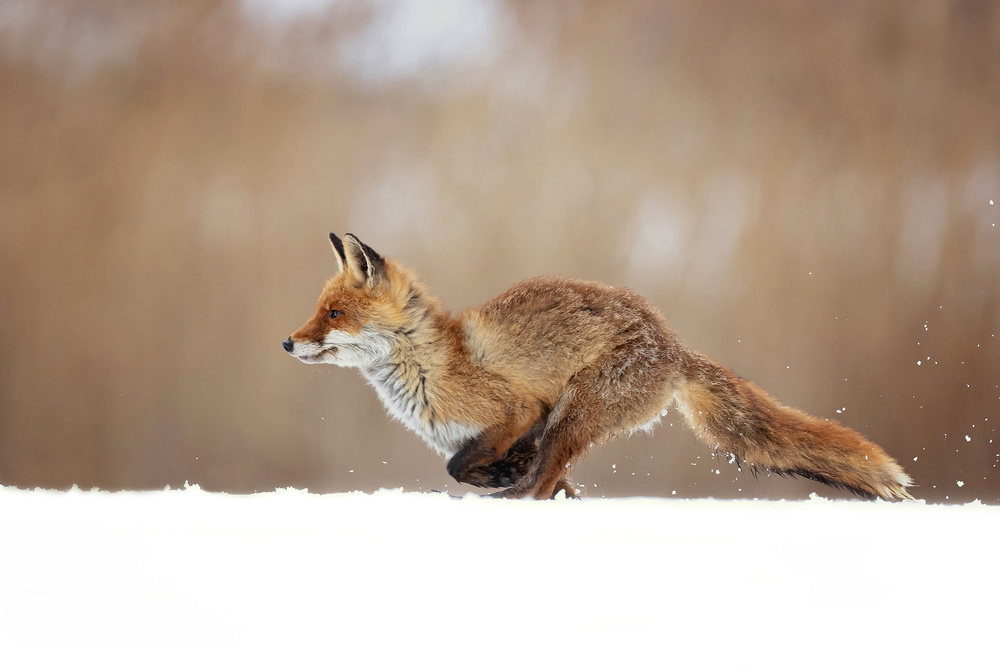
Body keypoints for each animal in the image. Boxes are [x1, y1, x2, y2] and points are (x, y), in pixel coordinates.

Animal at [282, 235, 916, 500]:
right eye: (318, 309)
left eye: (334, 314)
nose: (287, 343)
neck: (429, 364)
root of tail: (674, 343)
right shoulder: (510, 432)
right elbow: (482, 466)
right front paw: (502, 476)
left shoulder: (519, 410)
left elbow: (460, 467)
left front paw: (494, 481)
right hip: (571, 421)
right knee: (549, 479)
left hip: (574, 413)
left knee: (540, 486)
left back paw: (512, 499)